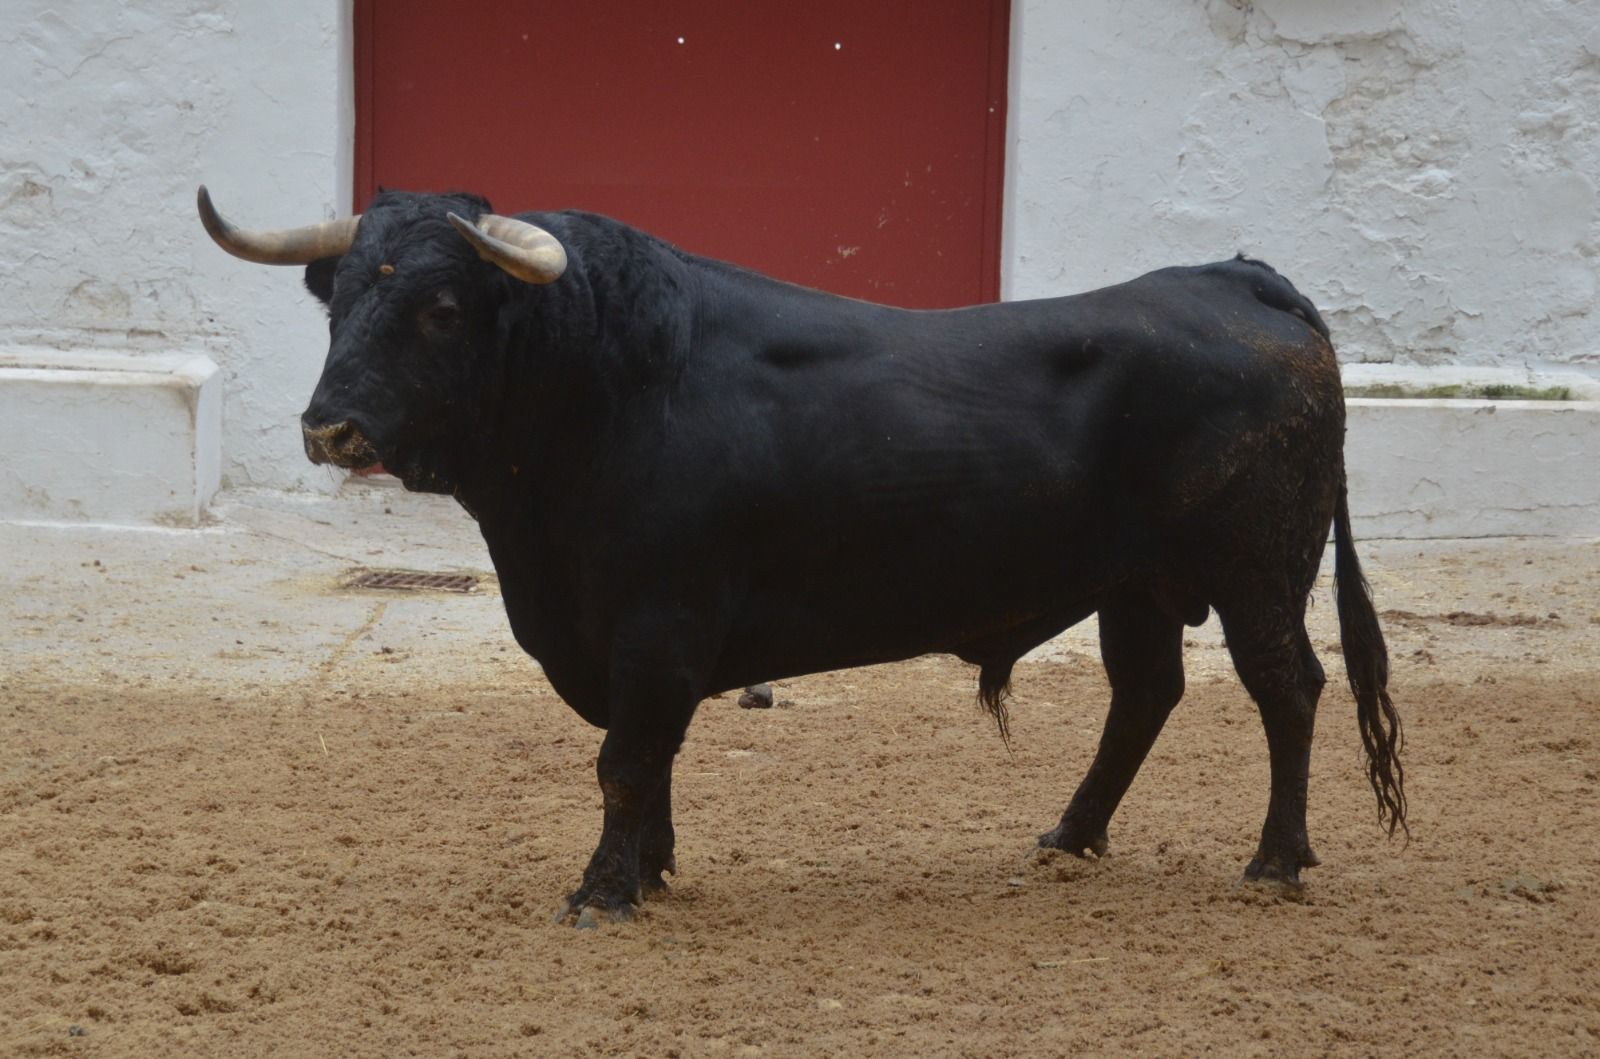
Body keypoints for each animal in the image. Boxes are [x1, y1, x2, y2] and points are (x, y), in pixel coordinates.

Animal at [196, 188, 1401, 921]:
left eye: (442, 307)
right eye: (339, 302)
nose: (330, 427)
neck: (616, 383)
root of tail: (1233, 279)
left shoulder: (659, 626)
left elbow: (626, 758)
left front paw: (604, 890)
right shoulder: (634, 645)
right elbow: (649, 760)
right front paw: (653, 869)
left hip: (1257, 575)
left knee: (1288, 688)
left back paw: (1275, 860)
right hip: (1135, 586)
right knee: (1145, 692)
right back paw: (1070, 834)